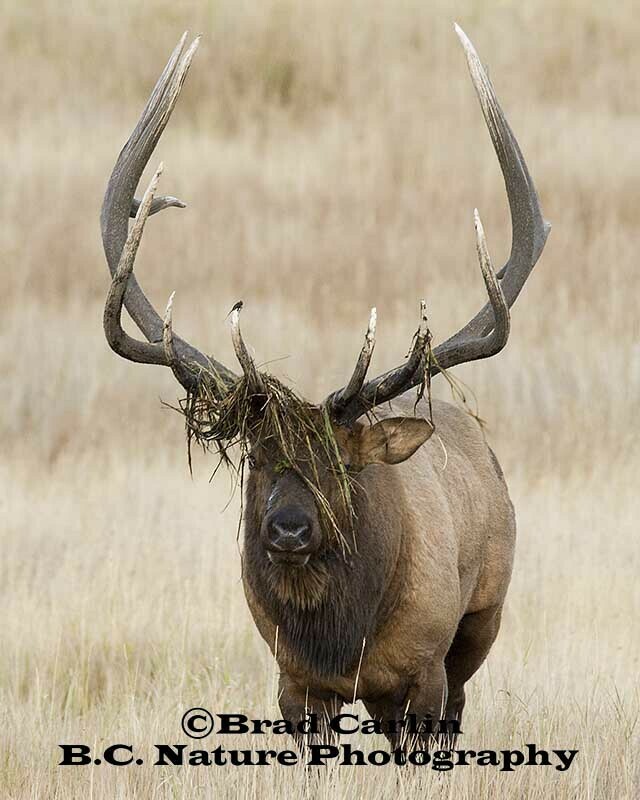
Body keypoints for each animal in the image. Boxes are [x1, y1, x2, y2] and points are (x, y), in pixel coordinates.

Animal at [100, 26, 549, 747]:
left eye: (341, 461)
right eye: (258, 458)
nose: (287, 529)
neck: (344, 641)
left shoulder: (425, 669)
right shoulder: (294, 680)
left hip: (483, 617)